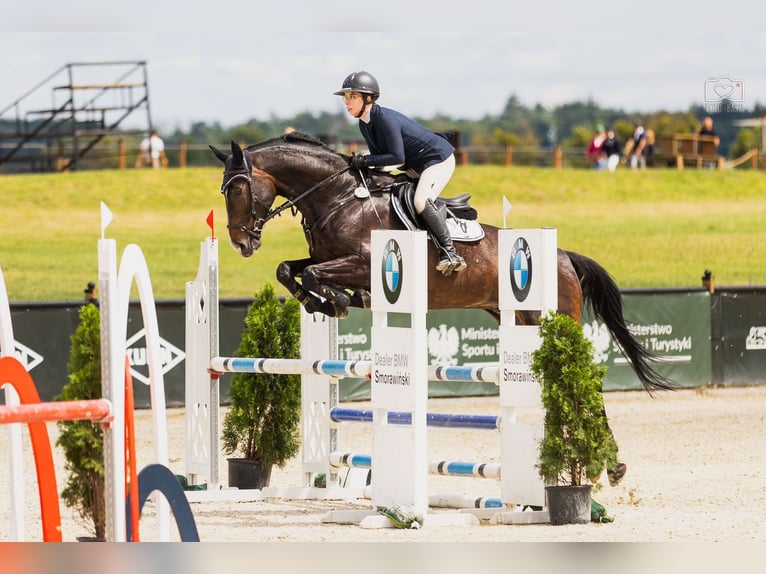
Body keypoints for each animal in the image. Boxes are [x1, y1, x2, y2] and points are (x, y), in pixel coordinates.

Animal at [210, 132, 672, 396]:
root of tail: (563, 256)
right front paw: (321, 301)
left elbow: (310, 273)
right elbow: (289, 270)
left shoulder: (362, 263)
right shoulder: (327, 257)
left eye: (238, 189)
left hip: (551, 316)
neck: (337, 197)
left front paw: (334, 300)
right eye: (224, 191)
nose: (240, 242)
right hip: (516, 316)